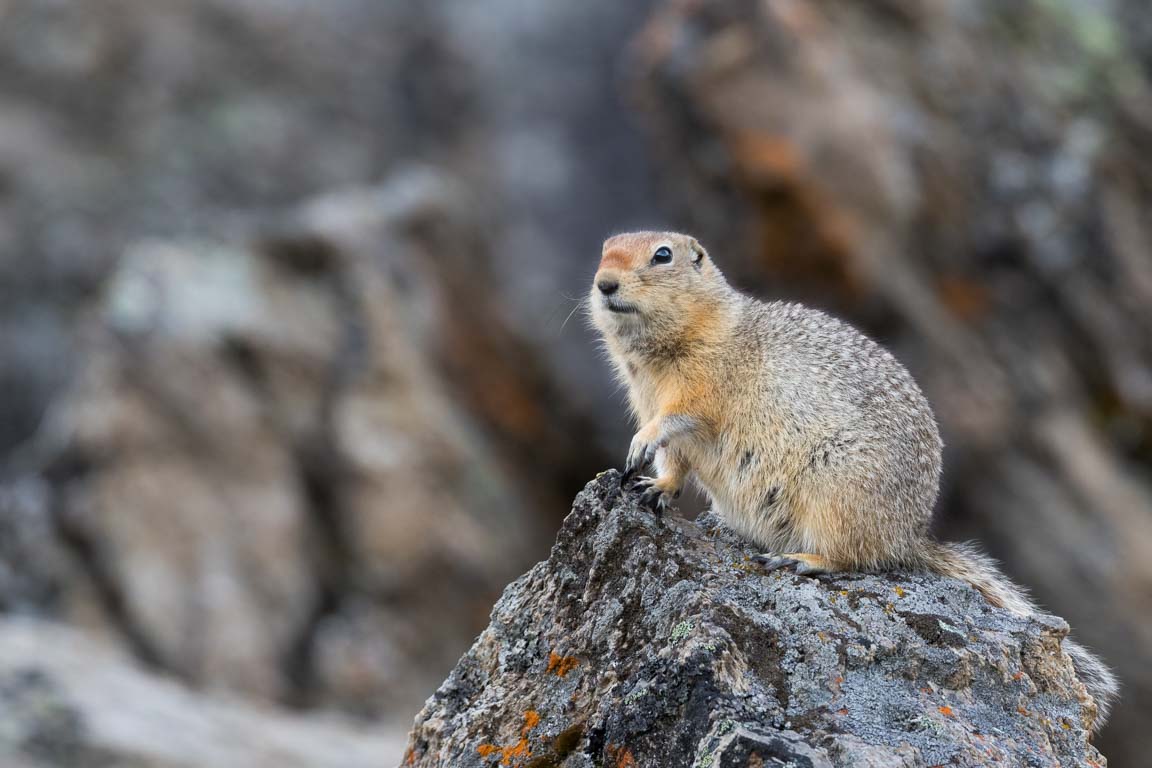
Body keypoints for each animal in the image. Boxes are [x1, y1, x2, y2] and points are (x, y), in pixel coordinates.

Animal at [589, 227, 1110, 727]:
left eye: (662, 255)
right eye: (605, 250)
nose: (604, 283)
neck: (662, 349)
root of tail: (908, 538)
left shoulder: (701, 382)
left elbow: (678, 419)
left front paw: (642, 446)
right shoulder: (648, 397)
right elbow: (674, 460)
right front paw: (651, 485)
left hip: (835, 491)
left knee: (854, 558)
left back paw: (802, 560)